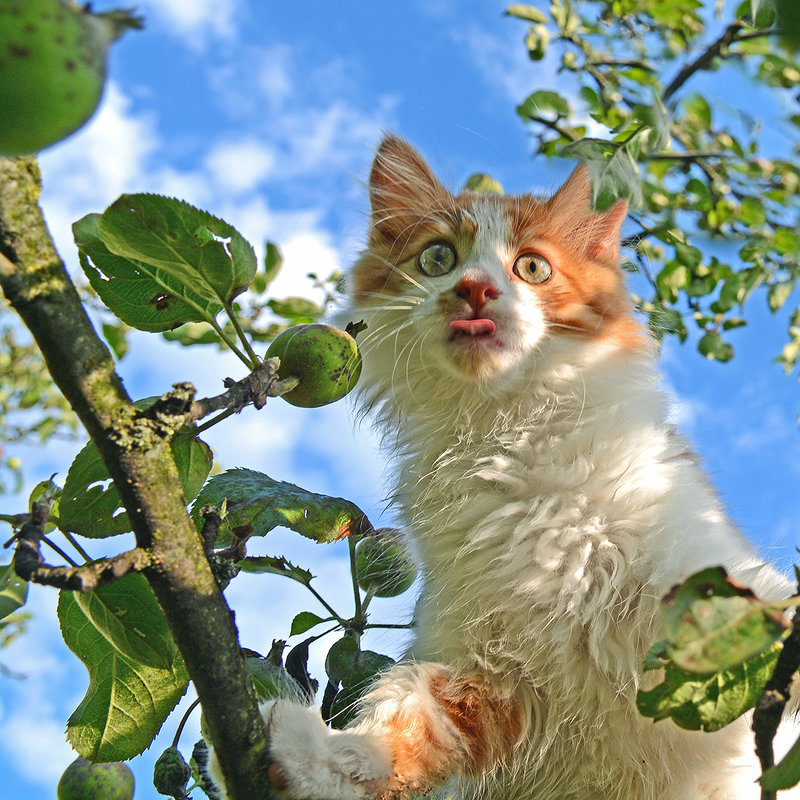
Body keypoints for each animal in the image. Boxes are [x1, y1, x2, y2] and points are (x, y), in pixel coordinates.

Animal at [209, 138, 796, 800]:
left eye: (532, 268)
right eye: (438, 257)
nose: (474, 289)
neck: (506, 433)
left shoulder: (719, 587)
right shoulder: (488, 673)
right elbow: (403, 720)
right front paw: (318, 760)